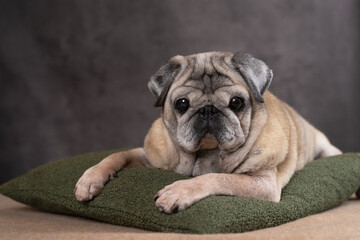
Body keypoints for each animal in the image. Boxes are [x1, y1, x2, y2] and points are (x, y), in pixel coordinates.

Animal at [73, 51, 344, 214]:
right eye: (182, 104)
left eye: (237, 102)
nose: (208, 110)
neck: (205, 154)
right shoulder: (148, 158)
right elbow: (116, 156)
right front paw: (90, 179)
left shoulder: (262, 183)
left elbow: (217, 178)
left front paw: (178, 191)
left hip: (329, 151)